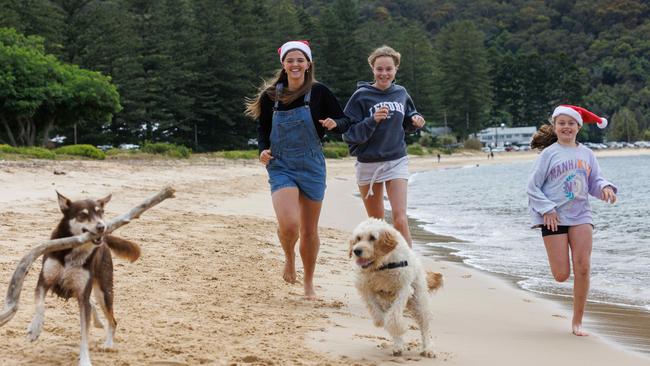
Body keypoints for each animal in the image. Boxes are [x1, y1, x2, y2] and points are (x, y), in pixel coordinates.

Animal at [27, 193, 141, 364]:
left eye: (101, 212)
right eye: (83, 215)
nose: (102, 226)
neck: (73, 251)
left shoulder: (82, 293)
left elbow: (84, 335)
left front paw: (85, 360)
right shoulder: (43, 282)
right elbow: (40, 306)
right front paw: (35, 328)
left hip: (104, 292)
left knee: (112, 320)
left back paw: (108, 343)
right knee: (92, 305)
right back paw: (98, 322)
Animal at [350, 217, 440, 358]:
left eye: (372, 237)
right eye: (358, 238)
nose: (356, 251)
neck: (382, 265)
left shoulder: (404, 289)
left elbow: (394, 317)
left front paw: (399, 327)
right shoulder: (366, 289)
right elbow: (377, 312)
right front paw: (380, 321)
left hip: (419, 302)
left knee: (425, 327)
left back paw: (428, 349)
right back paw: (398, 345)